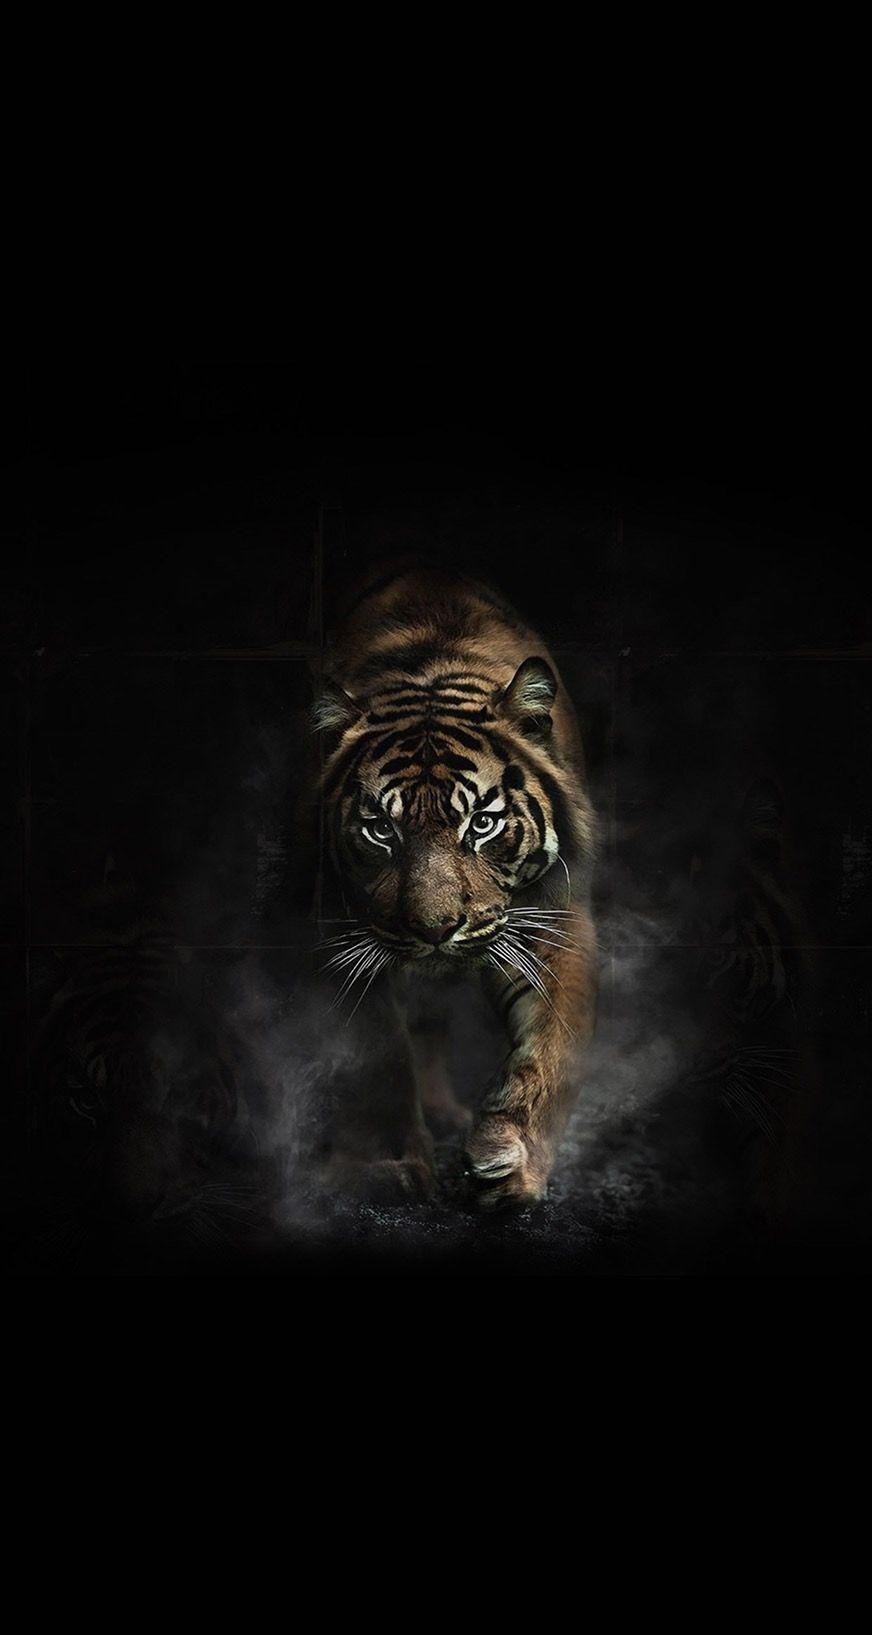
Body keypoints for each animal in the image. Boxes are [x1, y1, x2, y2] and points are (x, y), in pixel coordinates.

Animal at [312, 563, 598, 1209]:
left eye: (482, 824)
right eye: (380, 829)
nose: (435, 928)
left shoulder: (555, 919)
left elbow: (552, 1048)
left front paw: (510, 1163)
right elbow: (380, 1055)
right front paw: (391, 1166)